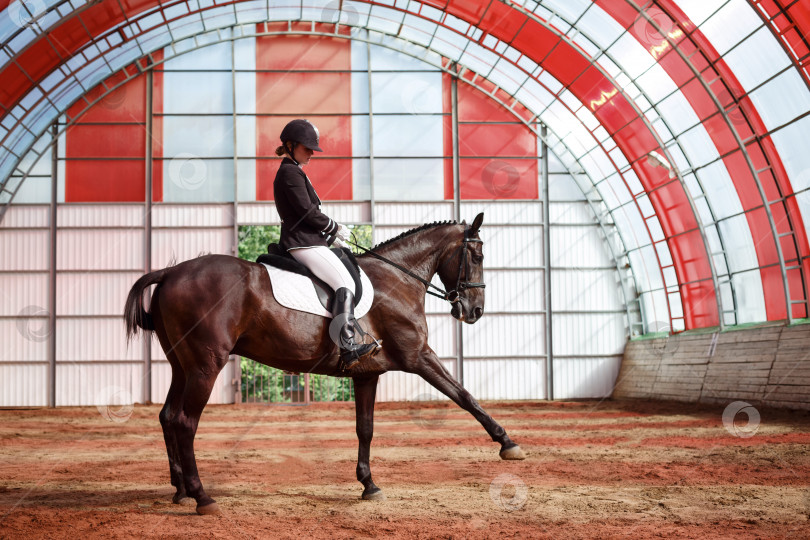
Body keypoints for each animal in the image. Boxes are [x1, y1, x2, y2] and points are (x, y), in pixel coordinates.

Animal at [120, 211, 524, 516]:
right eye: (478, 256)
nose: (474, 311)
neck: (396, 278)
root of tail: (170, 272)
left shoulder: (368, 373)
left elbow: (365, 429)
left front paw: (369, 484)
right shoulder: (418, 355)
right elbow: (464, 396)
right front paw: (508, 443)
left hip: (182, 366)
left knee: (168, 416)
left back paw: (180, 490)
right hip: (206, 366)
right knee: (185, 422)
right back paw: (202, 497)